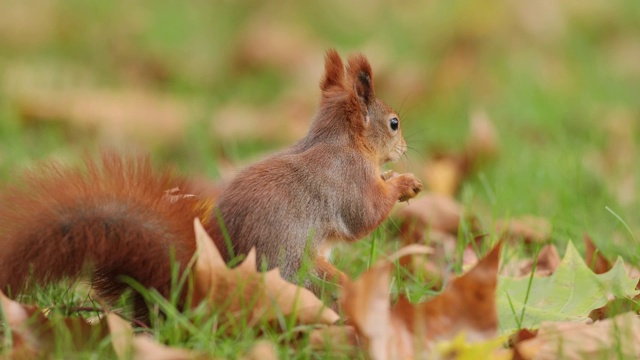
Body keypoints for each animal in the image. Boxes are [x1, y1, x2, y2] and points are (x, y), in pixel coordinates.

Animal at [0, 49, 420, 314]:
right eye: (393, 123)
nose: (404, 147)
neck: (336, 140)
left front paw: (393, 177)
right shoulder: (347, 178)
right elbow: (364, 216)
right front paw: (402, 183)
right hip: (306, 277)